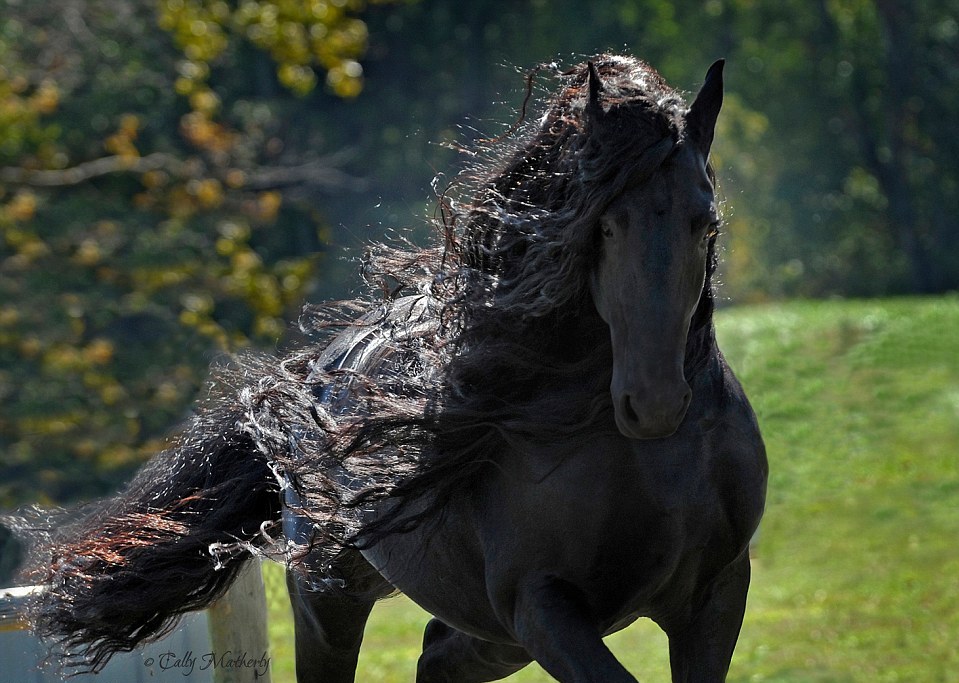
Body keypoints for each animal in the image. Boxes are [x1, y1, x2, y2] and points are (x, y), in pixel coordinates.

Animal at [16, 54, 764, 683]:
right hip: (333, 598)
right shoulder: (543, 606)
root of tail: (312, 376)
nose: (654, 402)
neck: (647, 463)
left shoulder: (714, 595)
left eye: (704, 223)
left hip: (485, 632)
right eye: (605, 225)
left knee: (436, 658)